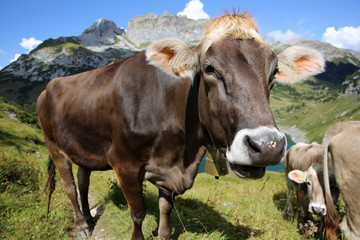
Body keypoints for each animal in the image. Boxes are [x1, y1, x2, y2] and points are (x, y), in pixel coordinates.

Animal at [38, 11, 324, 240]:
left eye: (274, 71)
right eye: (209, 68)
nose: (267, 147)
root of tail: (50, 85)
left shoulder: (170, 169)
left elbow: (166, 208)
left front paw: (163, 233)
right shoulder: (124, 163)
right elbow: (138, 212)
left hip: (84, 147)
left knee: (83, 181)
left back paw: (89, 217)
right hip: (54, 145)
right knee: (70, 187)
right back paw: (82, 225)